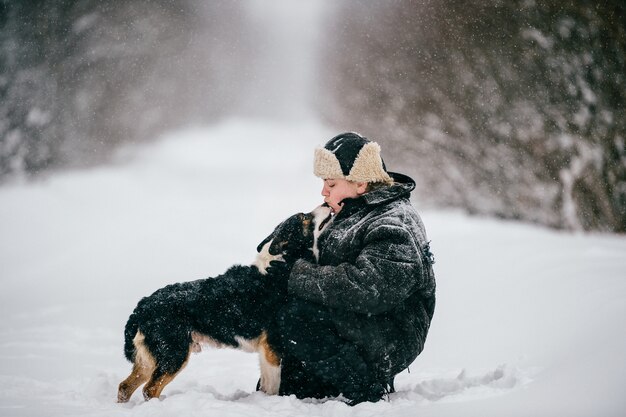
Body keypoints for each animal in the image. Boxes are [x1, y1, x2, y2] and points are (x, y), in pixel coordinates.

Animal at [117, 203, 332, 402]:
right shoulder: (272, 348)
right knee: (149, 389)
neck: (279, 268)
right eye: (304, 217)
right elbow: (273, 385)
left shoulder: (266, 352)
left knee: (125, 386)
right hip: (173, 354)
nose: (326, 203)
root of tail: (142, 306)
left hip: (150, 359)